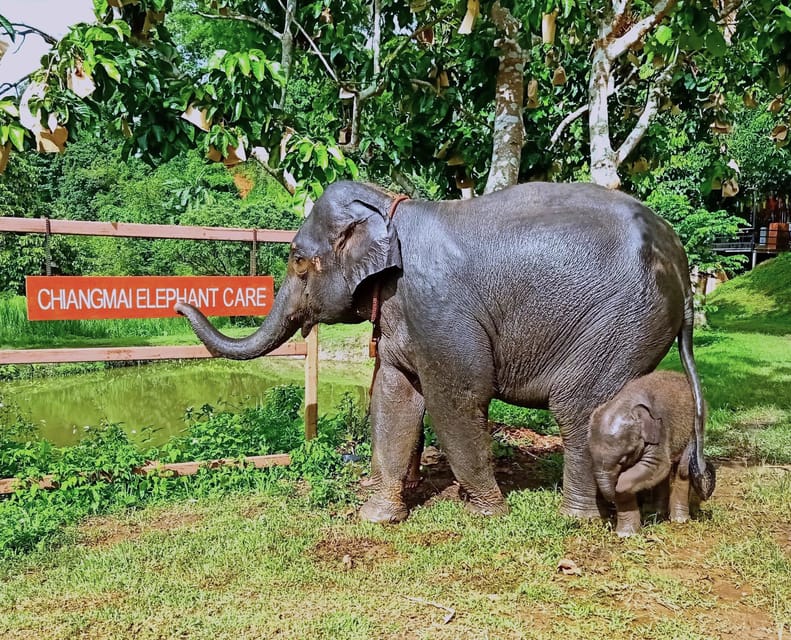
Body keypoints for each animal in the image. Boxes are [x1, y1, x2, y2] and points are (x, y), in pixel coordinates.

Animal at [175, 182, 712, 524]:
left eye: (298, 260)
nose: (180, 303)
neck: (392, 208)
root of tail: (684, 269)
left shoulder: (438, 309)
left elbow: (457, 399)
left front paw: (487, 512)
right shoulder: (404, 313)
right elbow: (392, 398)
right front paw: (375, 518)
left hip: (619, 322)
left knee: (579, 411)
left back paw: (576, 521)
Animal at [588, 370, 716, 536]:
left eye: (623, 458)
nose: (609, 502)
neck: (625, 404)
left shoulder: (660, 431)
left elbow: (657, 465)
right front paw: (625, 535)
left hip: (694, 429)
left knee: (682, 470)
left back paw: (679, 519)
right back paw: (656, 513)